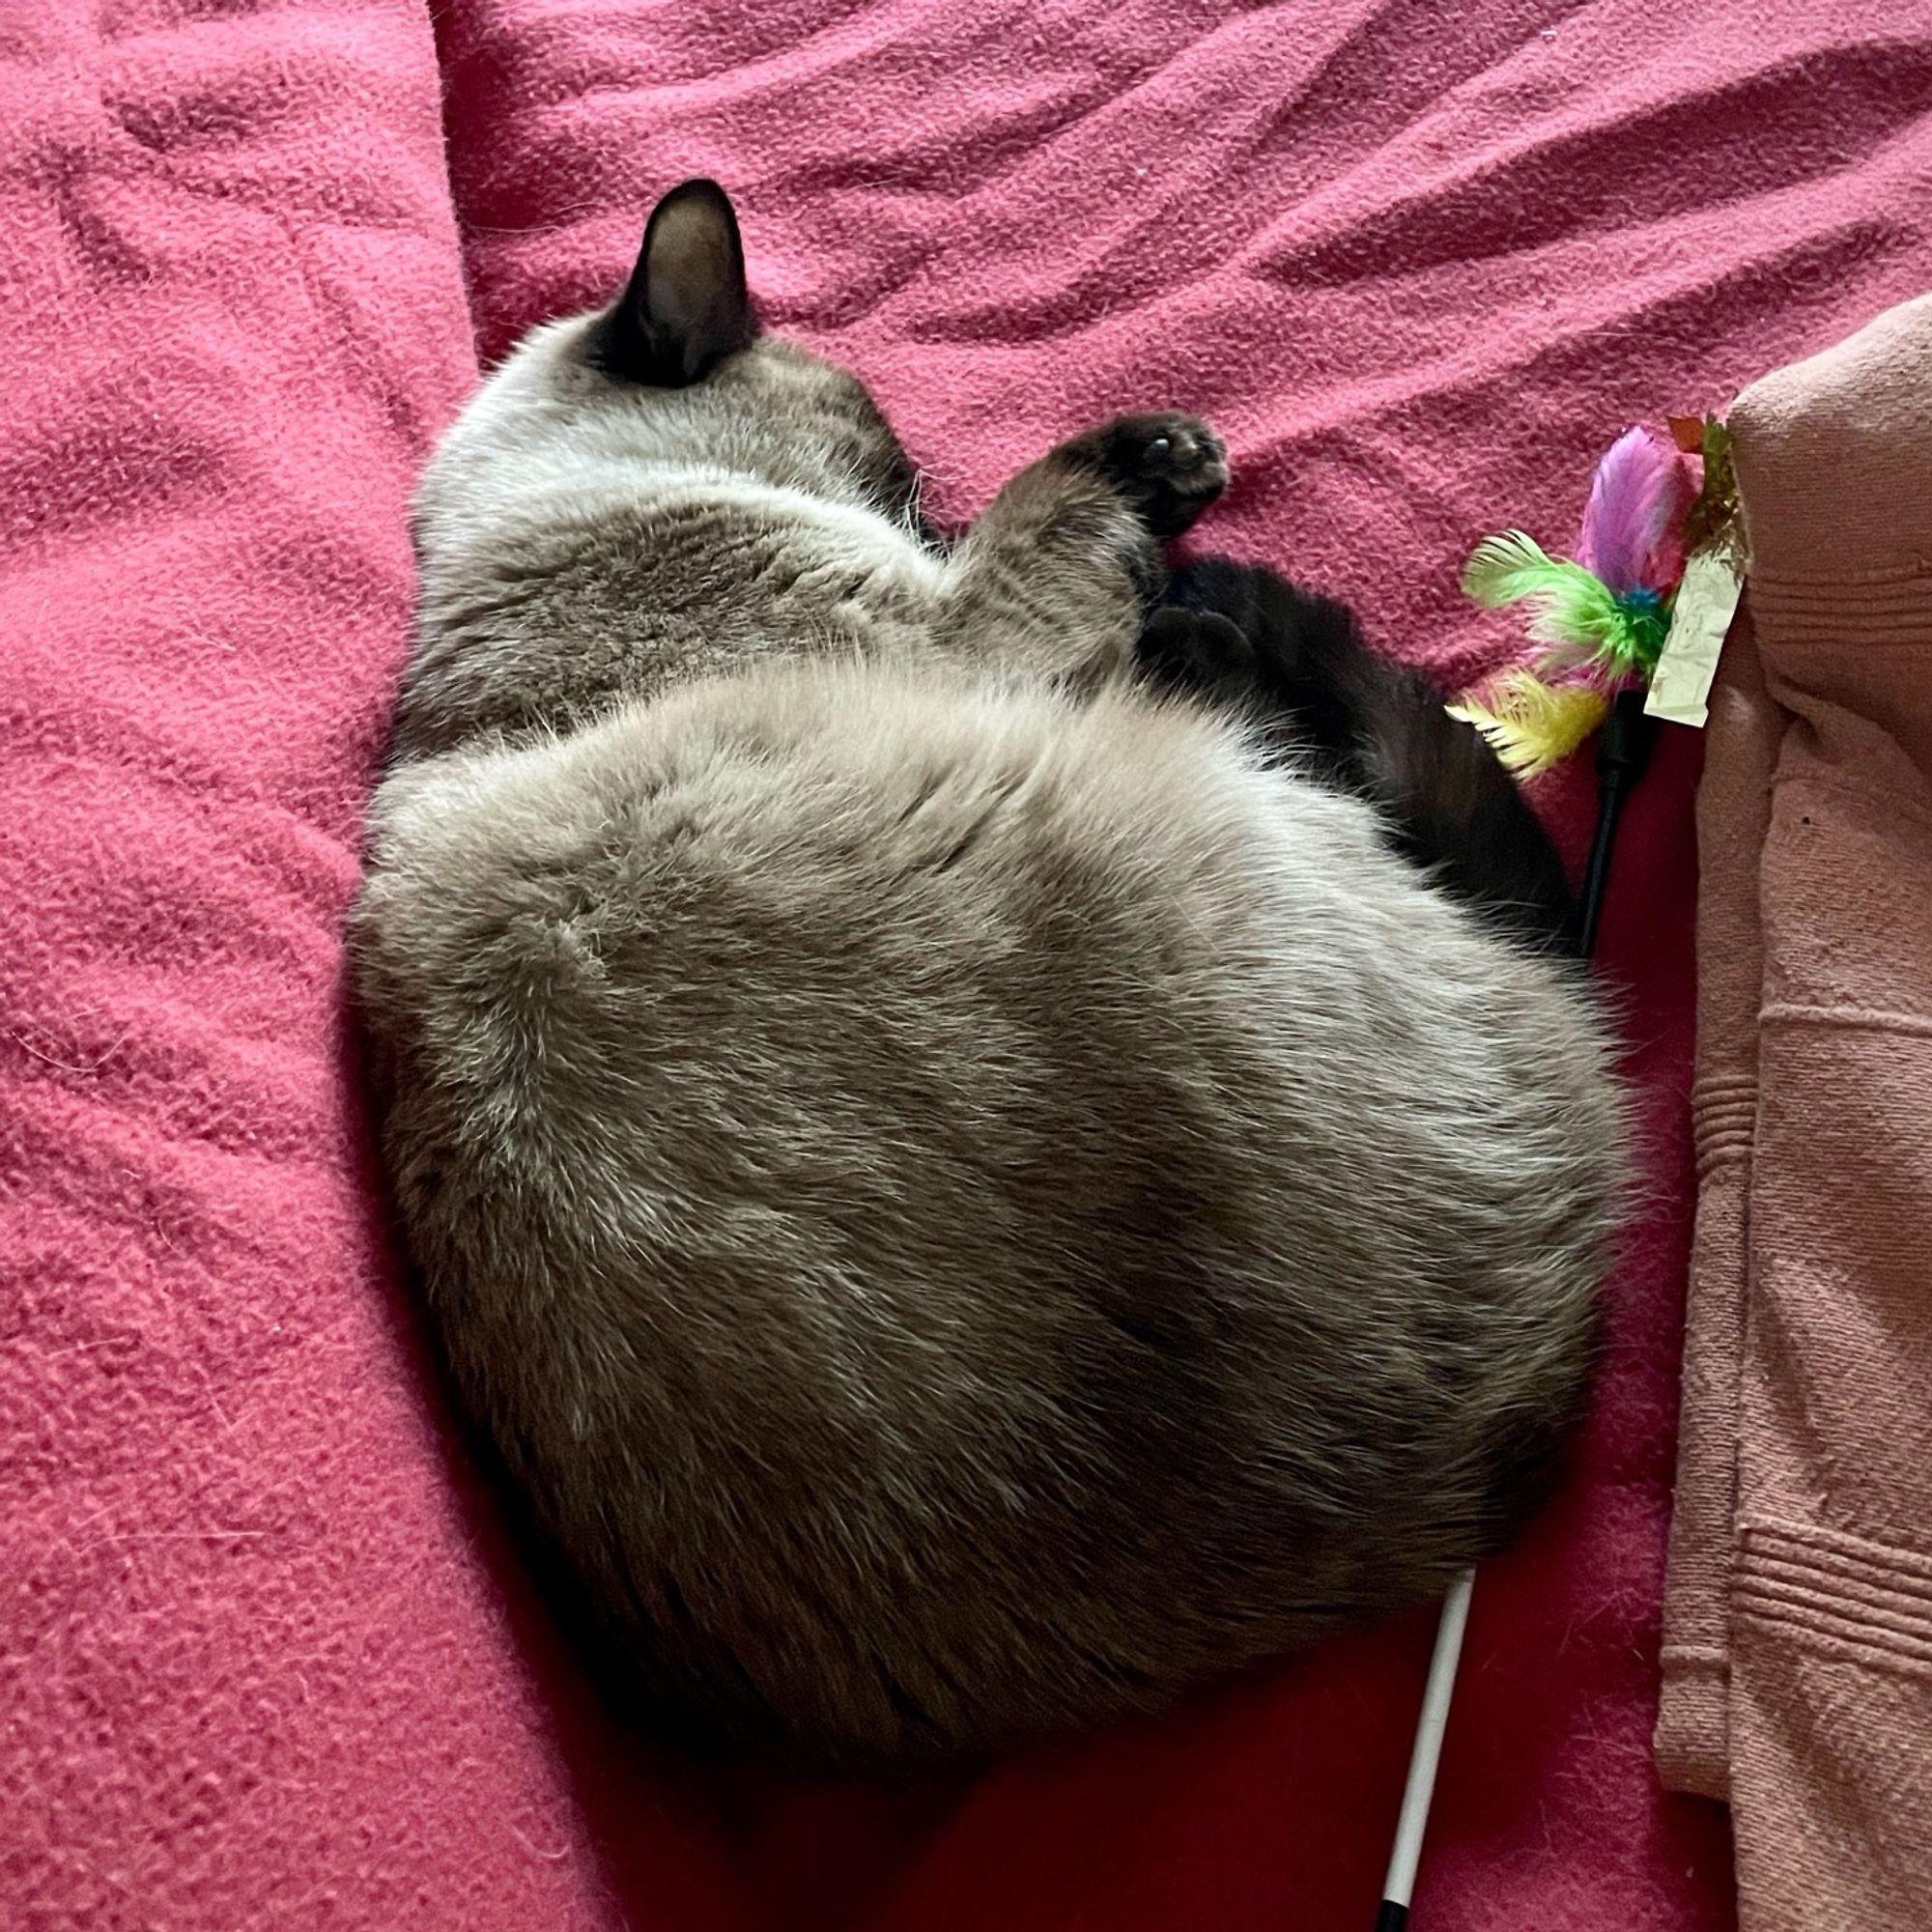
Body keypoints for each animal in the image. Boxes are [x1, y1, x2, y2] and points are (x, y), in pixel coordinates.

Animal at [352, 178, 1631, 1770]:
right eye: (891, 475)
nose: (927, 506)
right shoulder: (963, 623)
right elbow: (1056, 505)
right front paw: (1161, 463)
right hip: (1224, 806)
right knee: (1459, 854)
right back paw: (1216, 623)